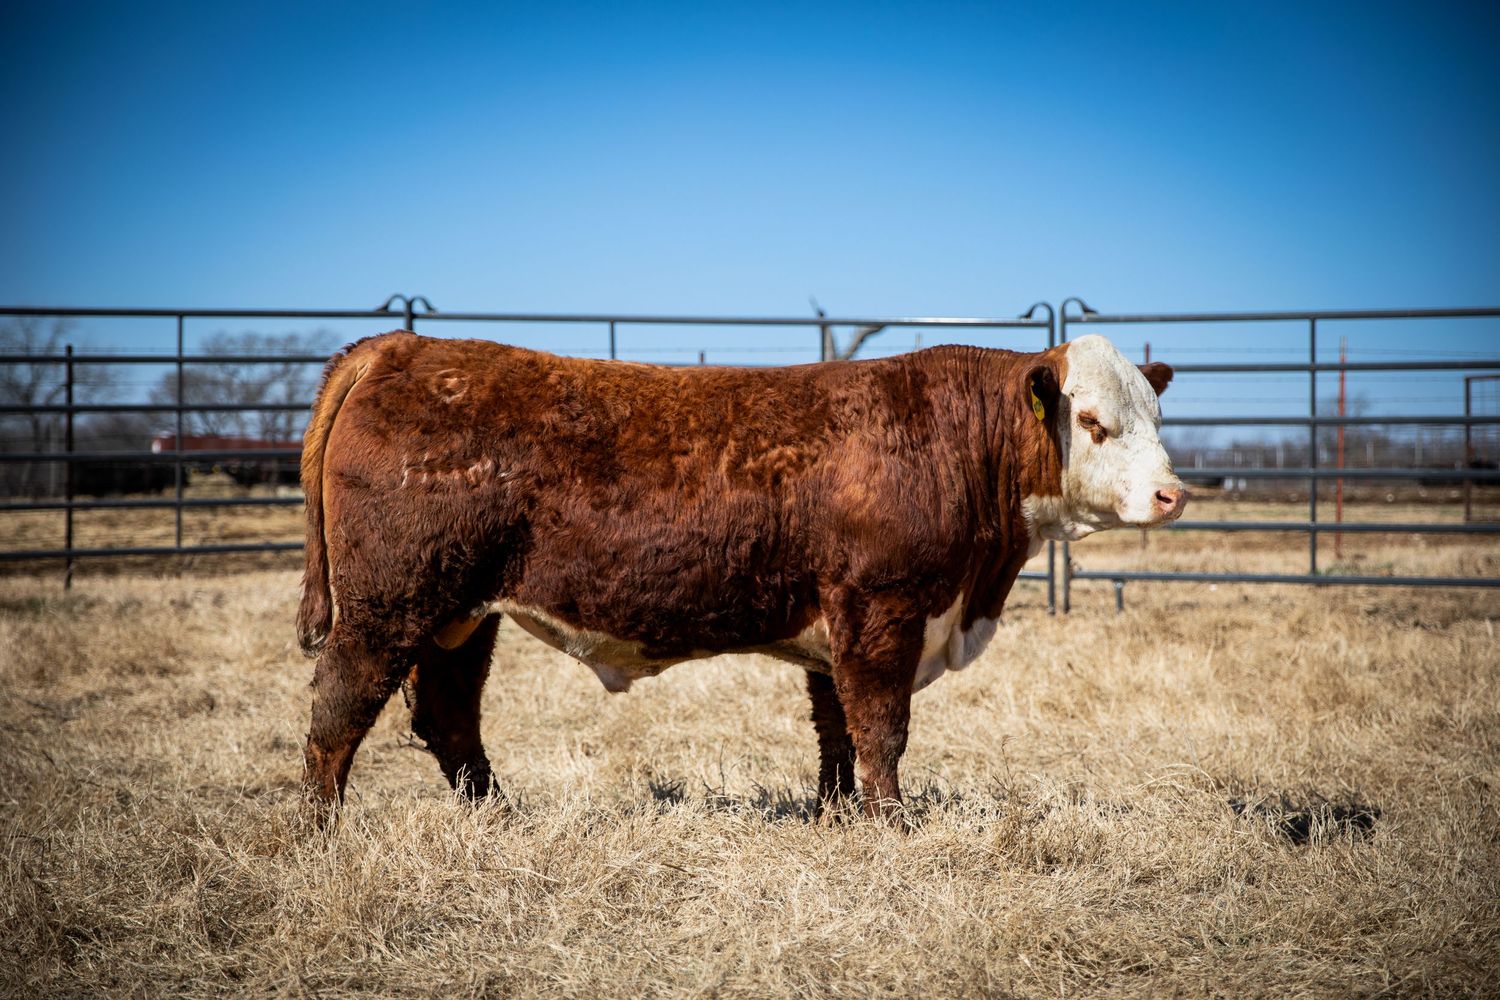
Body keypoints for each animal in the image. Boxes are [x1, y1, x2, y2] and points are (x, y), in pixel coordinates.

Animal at [296, 331, 1184, 822]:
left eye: (1155, 417)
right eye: (1093, 423)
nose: (1172, 493)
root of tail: (402, 347)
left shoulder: (839, 625)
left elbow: (838, 732)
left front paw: (839, 817)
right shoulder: (883, 610)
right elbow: (882, 728)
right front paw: (893, 826)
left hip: (460, 613)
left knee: (448, 716)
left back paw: (497, 818)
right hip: (387, 602)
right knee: (339, 709)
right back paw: (320, 832)